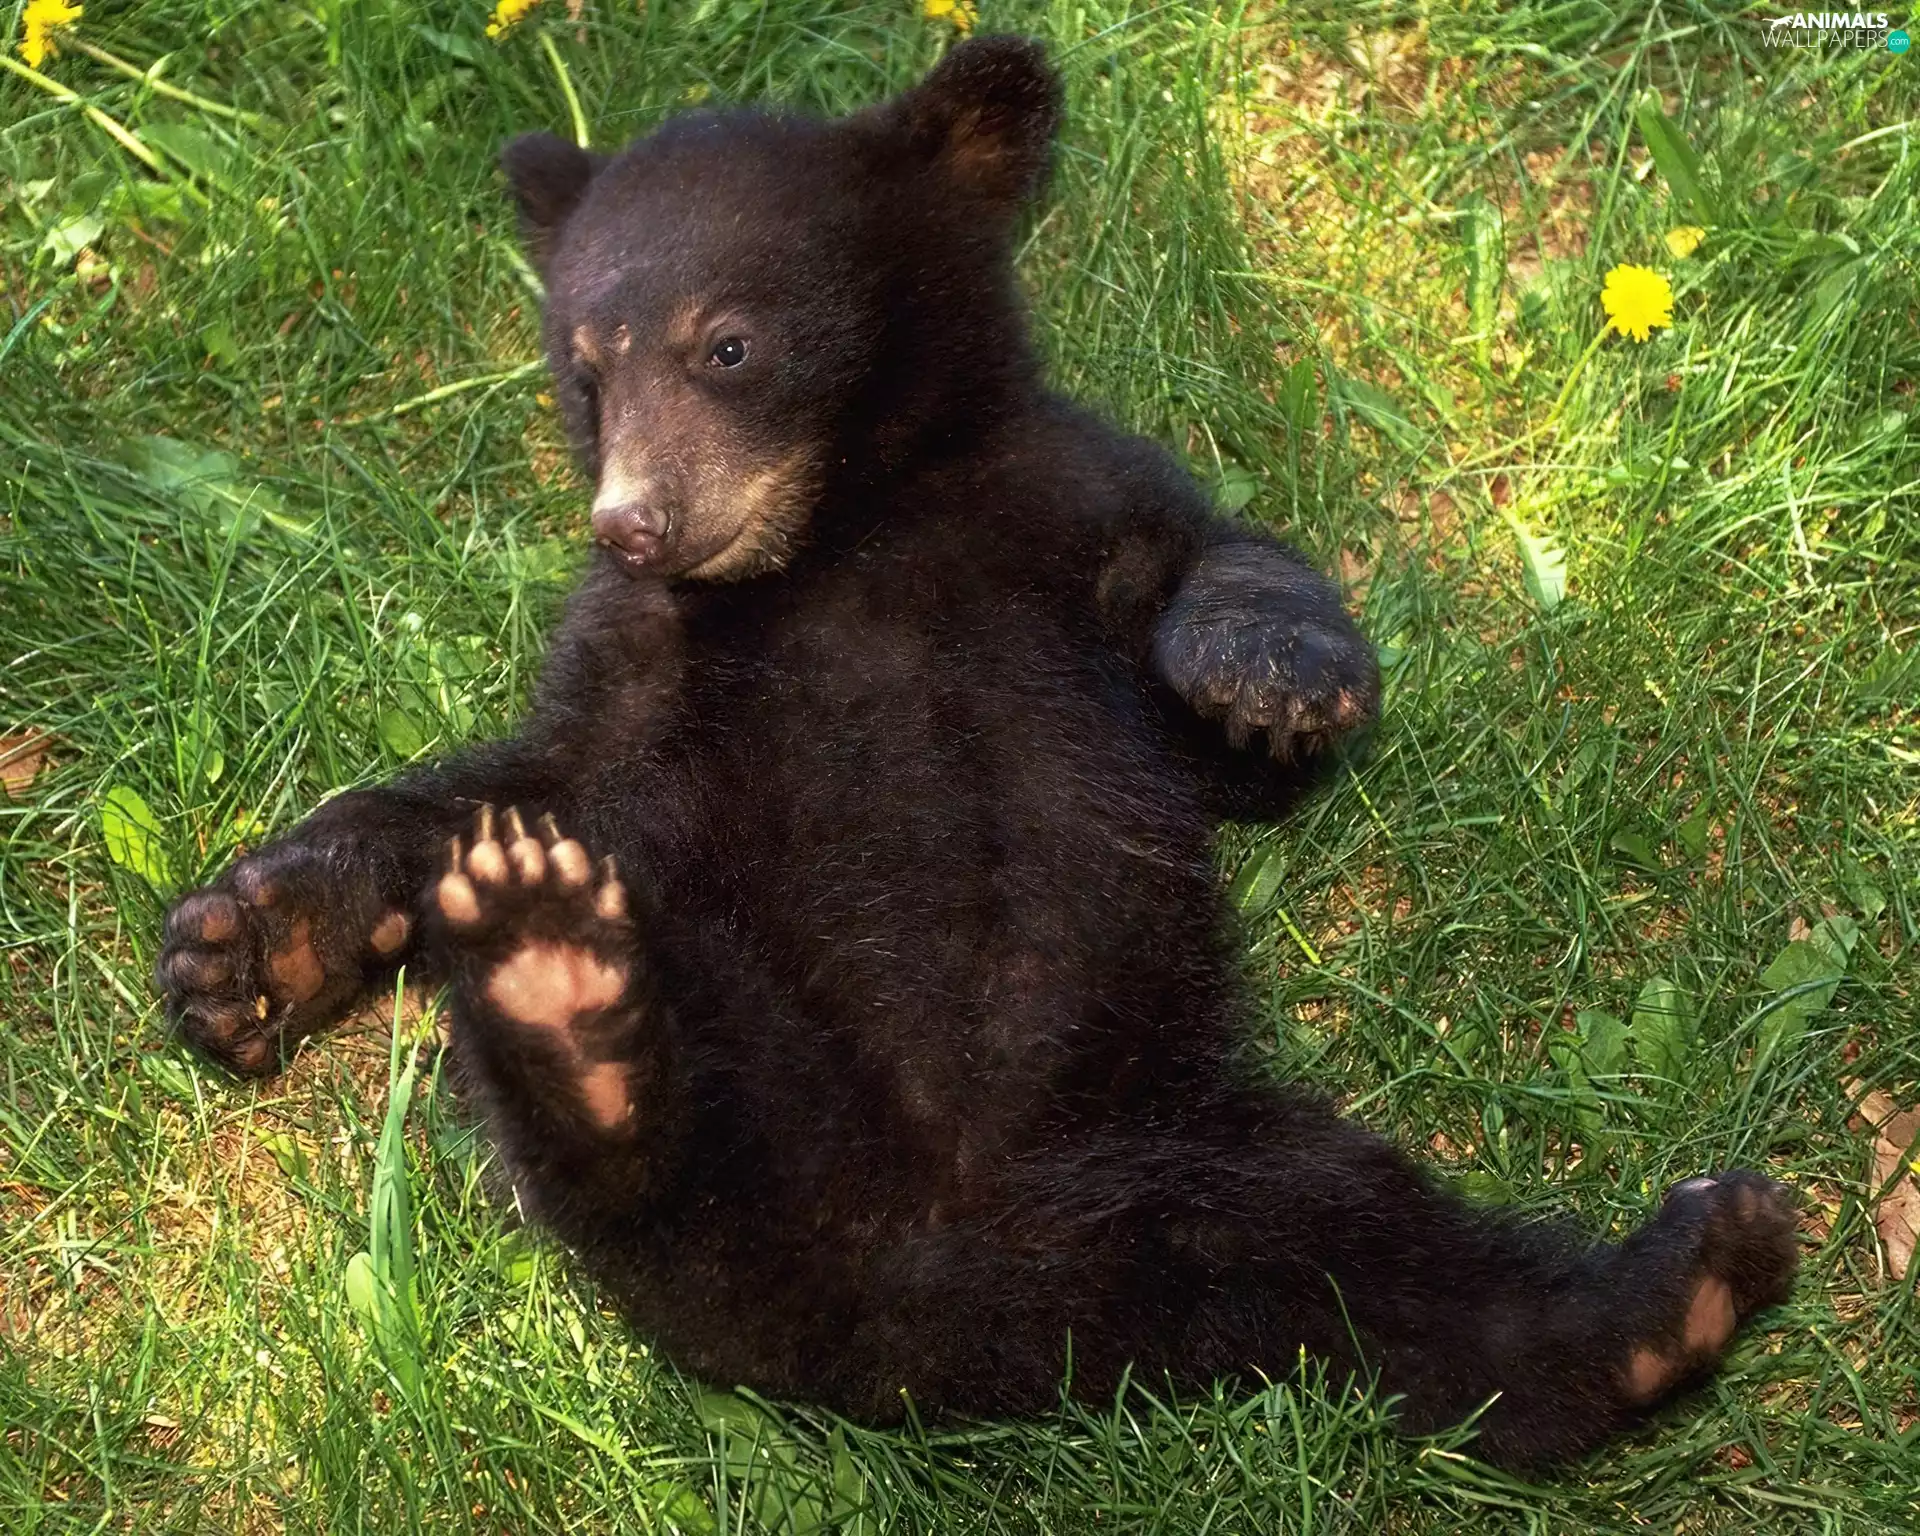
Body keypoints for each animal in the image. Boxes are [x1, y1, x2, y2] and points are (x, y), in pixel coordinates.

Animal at [154, 37, 1796, 1470]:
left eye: (726, 342)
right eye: (583, 372)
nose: (633, 521)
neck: (848, 533)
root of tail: (939, 1312)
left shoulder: (1062, 504)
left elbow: (1219, 604)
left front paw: (1269, 675)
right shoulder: (634, 667)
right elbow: (515, 788)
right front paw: (249, 942)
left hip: (1205, 1159)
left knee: (1389, 1270)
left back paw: (1676, 1286)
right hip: (755, 1080)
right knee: (656, 1173)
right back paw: (559, 989)